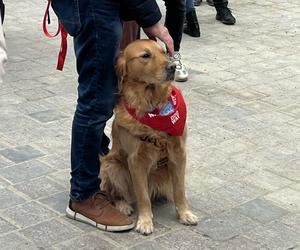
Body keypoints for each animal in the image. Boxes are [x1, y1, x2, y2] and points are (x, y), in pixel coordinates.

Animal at [101, 39, 198, 234]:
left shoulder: (179, 154)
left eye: (164, 52)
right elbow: (142, 195)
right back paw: (123, 205)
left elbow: (180, 190)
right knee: (114, 193)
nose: (172, 67)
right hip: (111, 165)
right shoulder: (135, 160)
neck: (152, 105)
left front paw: (185, 213)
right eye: (145, 55)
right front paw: (145, 221)